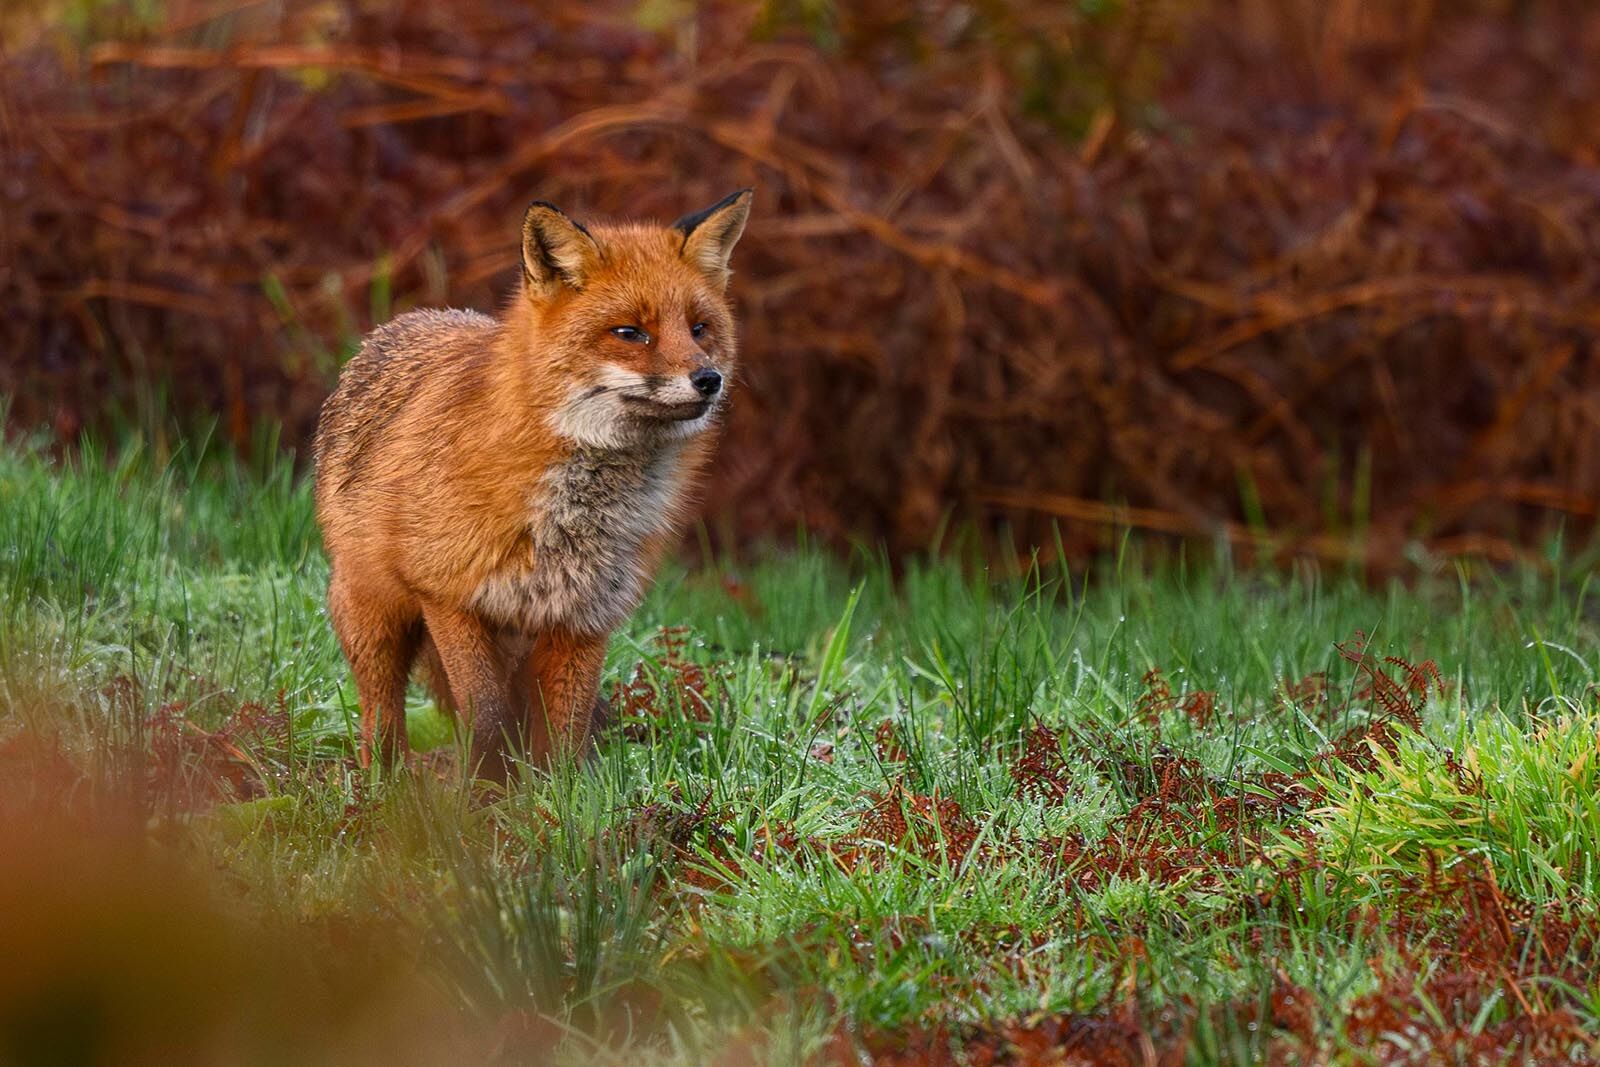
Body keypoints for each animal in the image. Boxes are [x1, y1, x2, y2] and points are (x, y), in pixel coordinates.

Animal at [313, 189, 753, 782]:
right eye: (630, 333)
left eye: (700, 328)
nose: (709, 379)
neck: (571, 518)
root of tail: (408, 320)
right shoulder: (448, 596)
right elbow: (487, 713)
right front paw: (482, 790)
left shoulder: (585, 616)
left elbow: (564, 733)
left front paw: (555, 799)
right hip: (374, 619)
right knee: (381, 716)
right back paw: (385, 784)